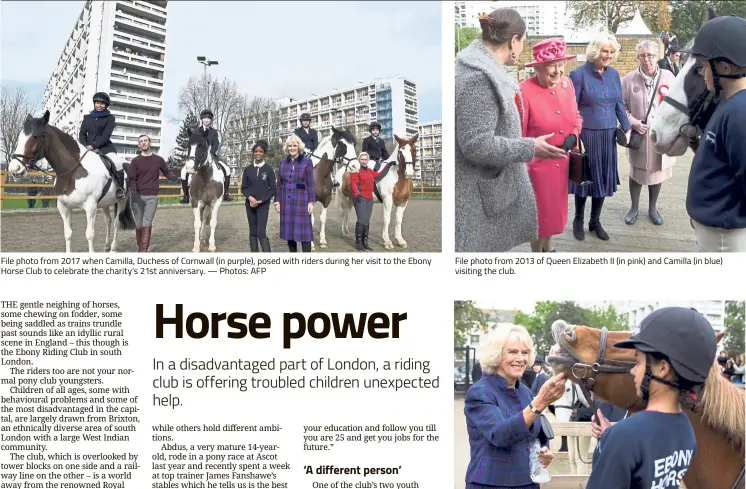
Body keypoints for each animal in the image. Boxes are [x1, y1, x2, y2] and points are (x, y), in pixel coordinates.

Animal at [7, 110, 134, 252]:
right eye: (20, 137)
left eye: (35, 137)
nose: (14, 169)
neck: (71, 172)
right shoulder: (64, 207)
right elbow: (67, 233)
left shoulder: (90, 207)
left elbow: (89, 234)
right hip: (106, 203)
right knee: (108, 220)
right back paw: (106, 246)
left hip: (122, 200)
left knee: (117, 222)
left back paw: (113, 248)